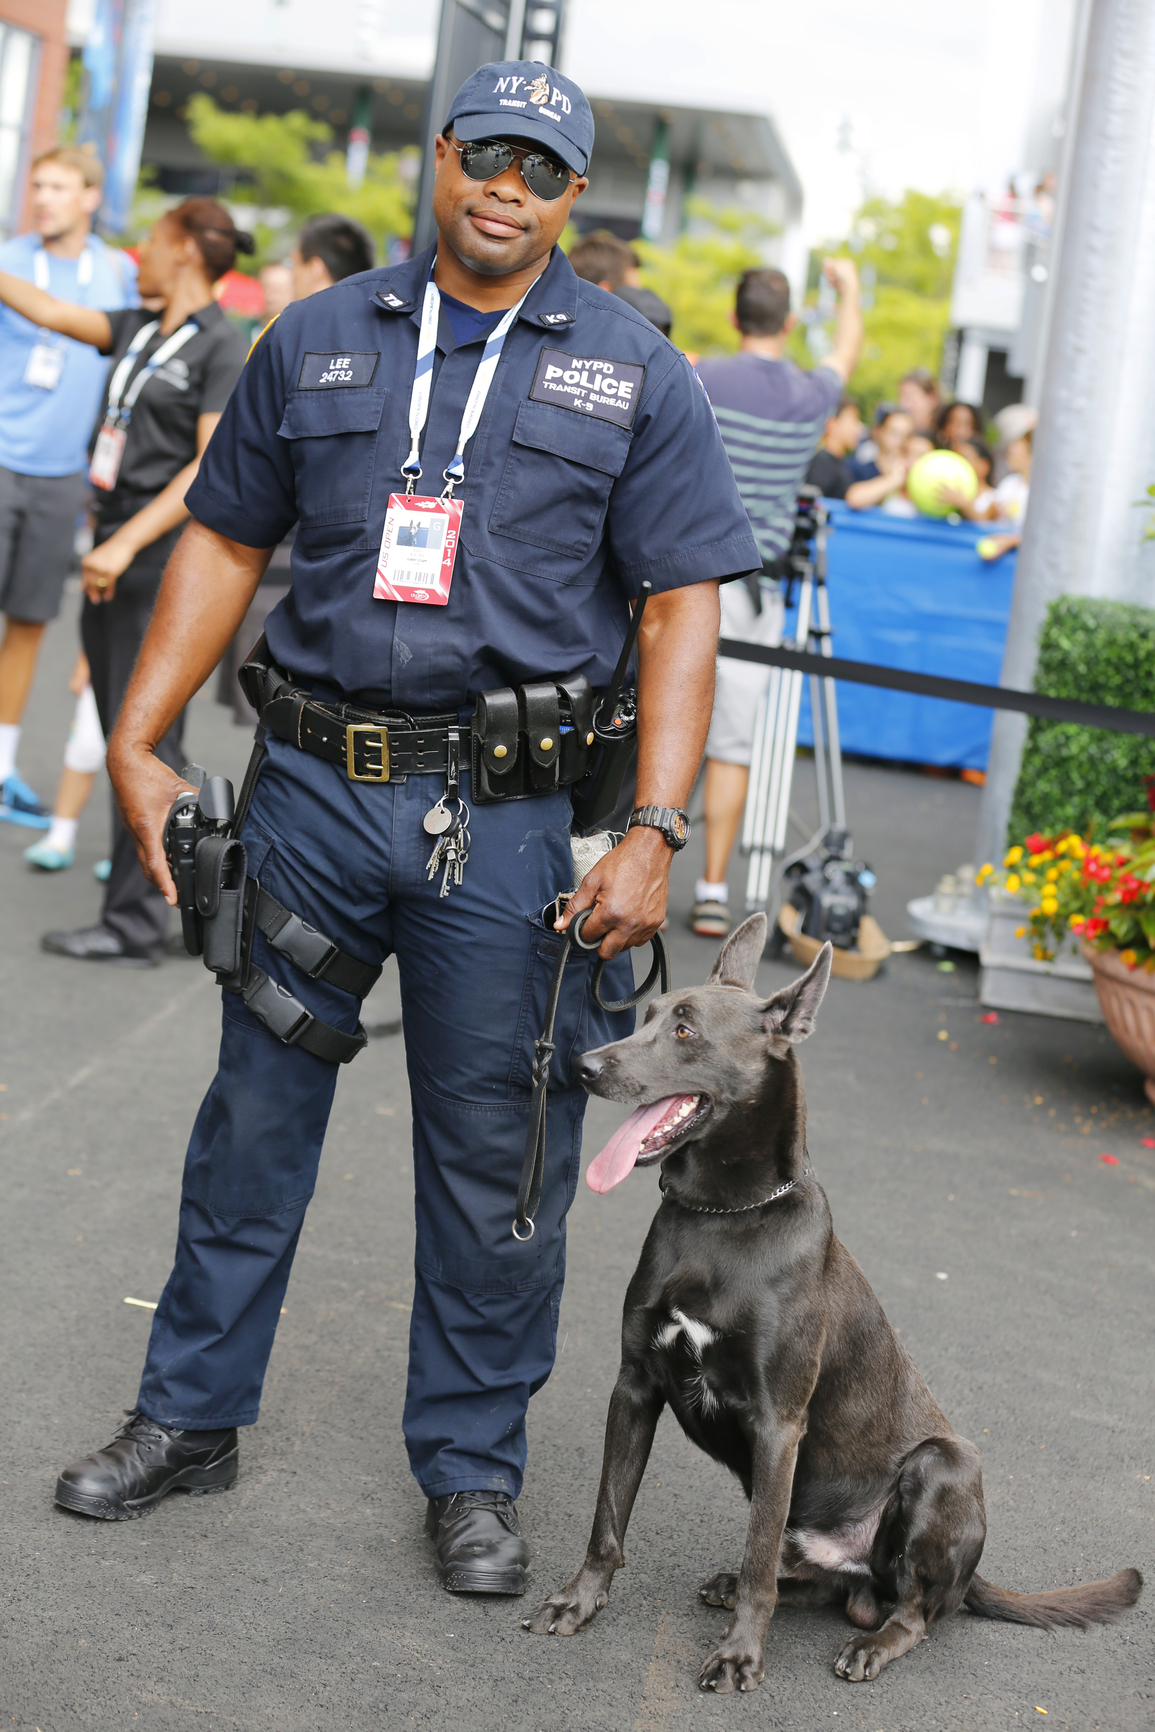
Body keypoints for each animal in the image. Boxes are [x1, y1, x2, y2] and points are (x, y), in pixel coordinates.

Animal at [529, 921, 1142, 1690]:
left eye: (686, 1030)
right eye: (646, 1015)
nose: (581, 1066)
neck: (720, 1217)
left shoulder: (777, 1424)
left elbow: (758, 1557)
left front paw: (739, 1655)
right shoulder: (635, 1387)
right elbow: (608, 1518)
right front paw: (578, 1602)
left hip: (945, 1464)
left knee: (910, 1611)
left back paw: (871, 1643)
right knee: (819, 1582)